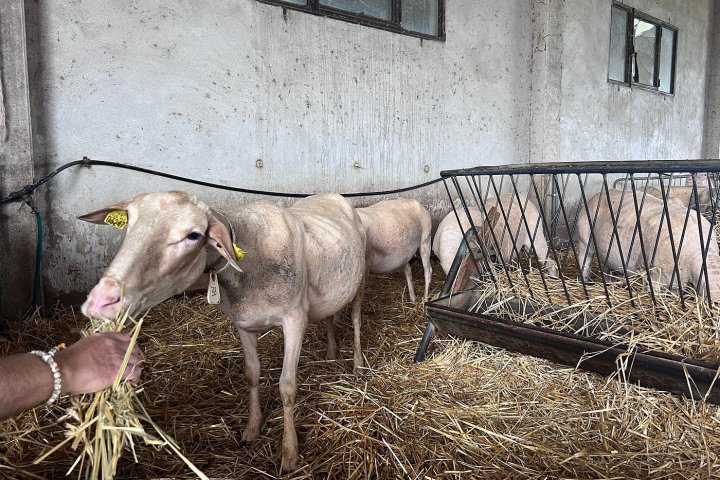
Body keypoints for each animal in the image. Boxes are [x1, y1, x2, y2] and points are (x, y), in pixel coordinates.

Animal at [78, 191, 367, 472]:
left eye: (193, 235)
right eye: (129, 221)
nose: (101, 300)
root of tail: (331, 195)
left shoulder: (295, 319)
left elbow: (287, 387)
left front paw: (289, 453)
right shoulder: (243, 323)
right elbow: (252, 374)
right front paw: (251, 430)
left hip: (360, 281)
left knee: (355, 320)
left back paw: (357, 364)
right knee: (330, 315)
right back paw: (331, 353)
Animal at [574, 189, 720, 299]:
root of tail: (596, 195)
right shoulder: (653, 273)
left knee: (605, 267)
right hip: (583, 237)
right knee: (584, 259)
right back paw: (585, 280)